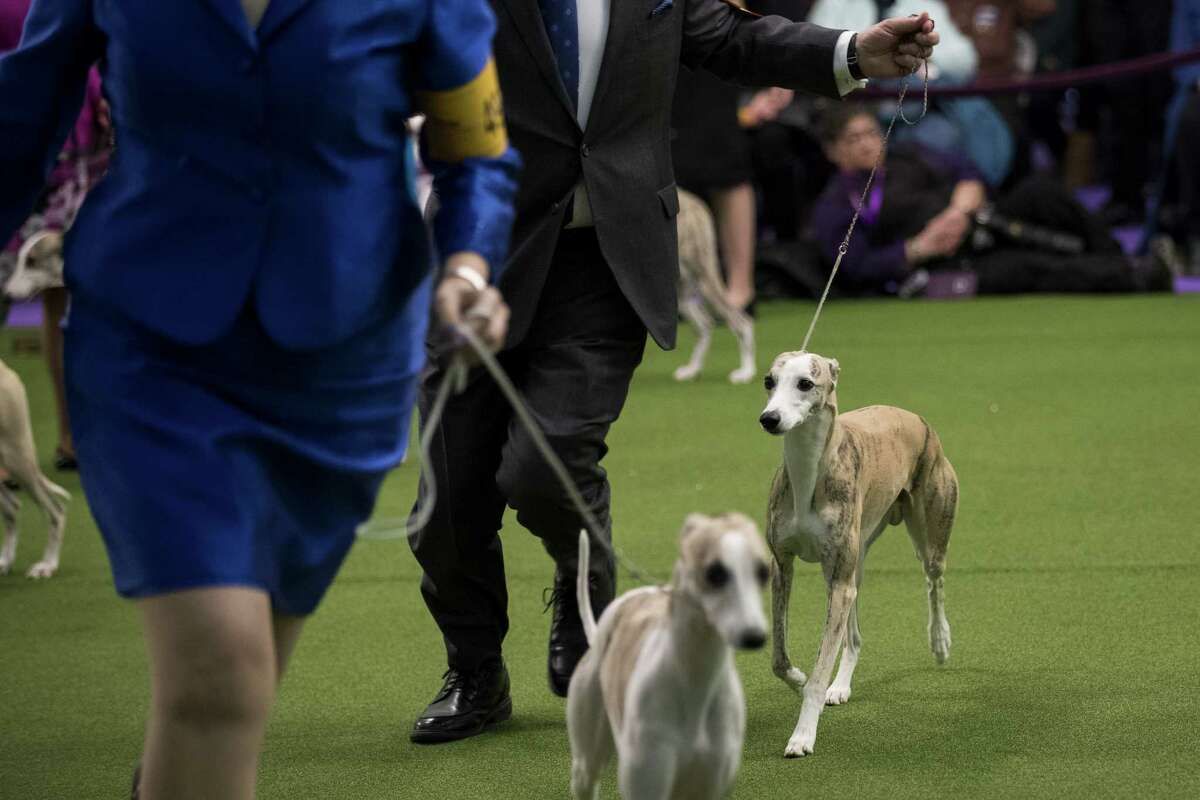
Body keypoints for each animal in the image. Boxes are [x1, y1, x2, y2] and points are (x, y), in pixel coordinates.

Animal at [0, 359, 69, 578]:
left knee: (56, 511)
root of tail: (6, 369)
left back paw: (48, 565)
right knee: (12, 508)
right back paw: (5, 561)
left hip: (17, 457)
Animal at [564, 515, 768, 796]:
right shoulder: (647, 778)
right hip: (587, 755)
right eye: (714, 573)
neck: (695, 678)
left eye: (764, 572)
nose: (755, 635)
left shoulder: (712, 783)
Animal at [676, 190, 748, 383]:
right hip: (683, 293)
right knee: (705, 324)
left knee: (742, 323)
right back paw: (692, 370)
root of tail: (696, 203)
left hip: (704, 276)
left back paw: (746, 372)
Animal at [758, 352, 955, 762]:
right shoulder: (782, 566)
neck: (808, 475)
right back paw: (841, 685)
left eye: (805, 383)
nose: (769, 419)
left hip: (928, 533)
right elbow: (780, 660)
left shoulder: (837, 578)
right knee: (854, 635)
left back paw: (940, 641)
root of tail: (913, 417)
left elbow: (819, 671)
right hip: (850, 566)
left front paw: (803, 735)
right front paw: (799, 680)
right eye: (769, 381)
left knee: (934, 580)